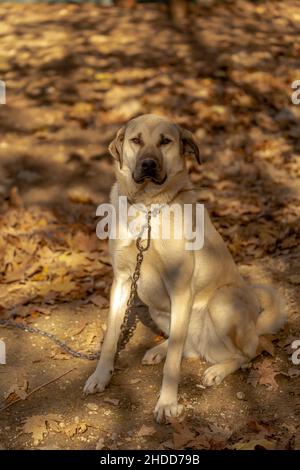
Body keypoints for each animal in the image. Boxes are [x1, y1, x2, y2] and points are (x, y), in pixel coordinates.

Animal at [84, 114, 286, 422]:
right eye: (136, 140)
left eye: (165, 141)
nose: (148, 165)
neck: (148, 208)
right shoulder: (122, 281)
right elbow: (110, 337)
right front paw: (100, 376)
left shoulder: (180, 288)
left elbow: (173, 366)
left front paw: (167, 403)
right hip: (158, 308)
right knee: (185, 347)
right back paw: (160, 349)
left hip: (221, 303)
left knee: (247, 353)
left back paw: (217, 370)